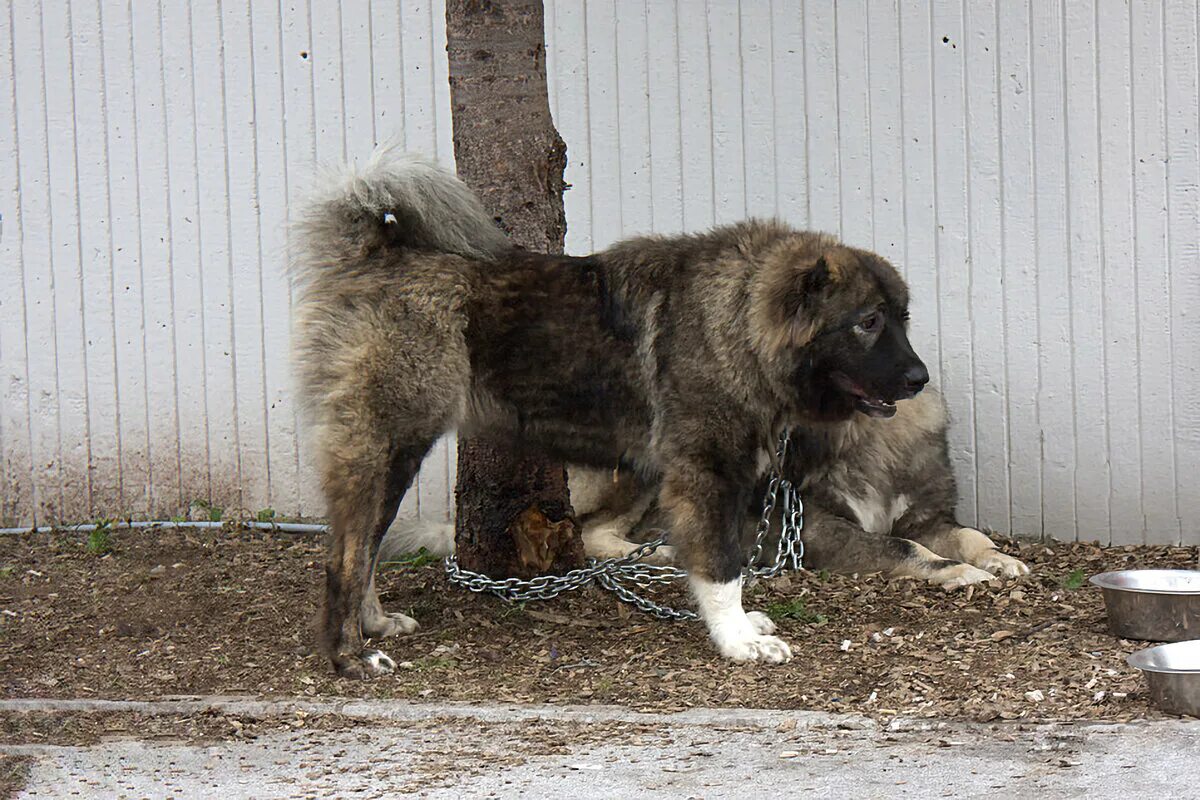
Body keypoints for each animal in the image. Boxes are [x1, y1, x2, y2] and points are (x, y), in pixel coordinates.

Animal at [295, 142, 931, 676]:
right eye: (867, 322)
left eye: (901, 319)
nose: (919, 379)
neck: (738, 320)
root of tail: (376, 254)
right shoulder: (706, 473)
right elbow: (722, 566)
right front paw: (736, 640)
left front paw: (740, 627)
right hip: (386, 445)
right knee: (343, 555)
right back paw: (349, 656)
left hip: (396, 453)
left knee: (363, 547)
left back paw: (375, 625)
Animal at [381, 388, 1032, 587]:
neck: (866, 435)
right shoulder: (820, 529)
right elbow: (901, 547)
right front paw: (956, 573)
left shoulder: (930, 515)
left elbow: (965, 534)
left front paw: (999, 559)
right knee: (593, 536)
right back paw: (665, 553)